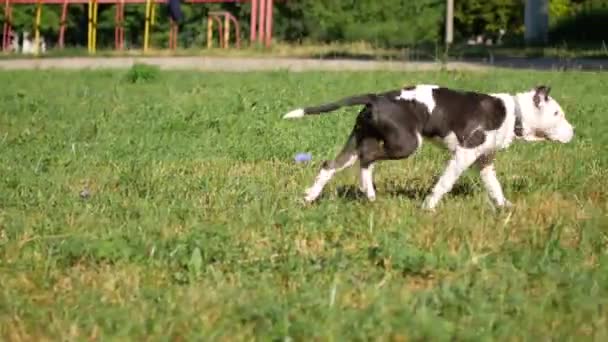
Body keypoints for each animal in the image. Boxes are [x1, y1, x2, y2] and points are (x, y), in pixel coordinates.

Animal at [282, 84, 576, 210]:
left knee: (329, 166)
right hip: (405, 144)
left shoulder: (484, 163)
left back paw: (310, 197)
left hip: (356, 141)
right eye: (558, 114)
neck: (513, 113)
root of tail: (377, 98)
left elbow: (495, 188)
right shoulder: (463, 155)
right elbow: (444, 183)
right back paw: (369, 191)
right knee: (367, 160)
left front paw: (505, 207)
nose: (573, 132)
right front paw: (429, 207)